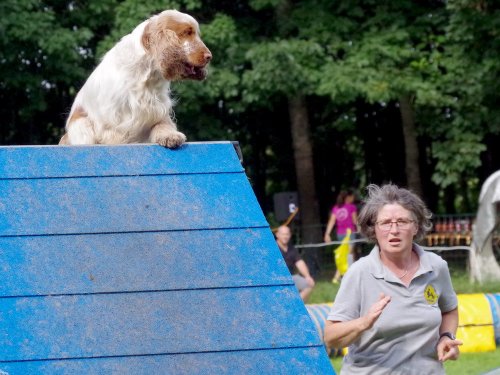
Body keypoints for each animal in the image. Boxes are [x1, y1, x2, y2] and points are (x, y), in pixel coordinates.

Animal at [59, 9, 212, 148]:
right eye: (187, 32)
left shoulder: (158, 109)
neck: (148, 74)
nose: (209, 56)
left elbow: (162, 124)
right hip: (80, 123)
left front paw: (170, 136)